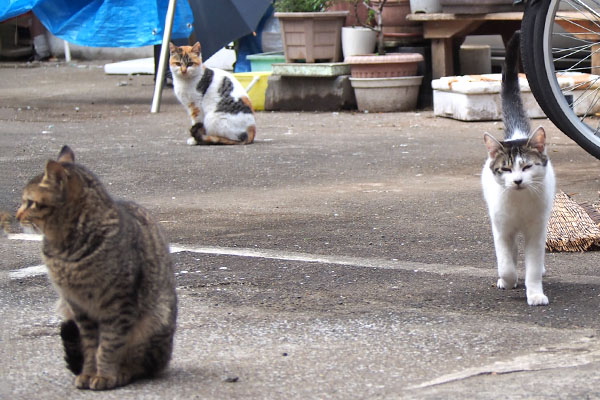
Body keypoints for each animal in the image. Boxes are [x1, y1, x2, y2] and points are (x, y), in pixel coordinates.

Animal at [15, 145, 176, 390]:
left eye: (30, 202)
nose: (17, 216)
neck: (65, 250)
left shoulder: (118, 304)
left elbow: (109, 345)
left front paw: (105, 375)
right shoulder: (78, 308)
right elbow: (91, 347)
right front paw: (89, 373)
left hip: (154, 319)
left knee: (144, 365)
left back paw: (124, 372)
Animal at [480, 31, 556, 306]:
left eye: (527, 167)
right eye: (505, 169)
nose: (517, 181)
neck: (520, 203)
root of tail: (516, 135)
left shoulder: (536, 230)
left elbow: (532, 265)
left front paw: (534, 293)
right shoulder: (501, 229)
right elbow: (505, 262)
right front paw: (508, 279)